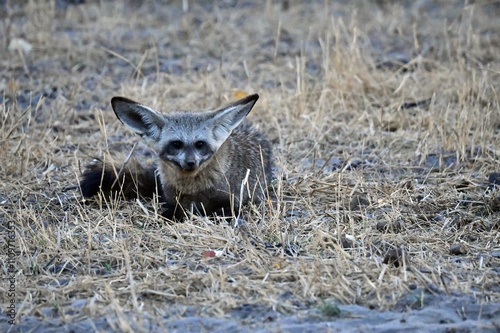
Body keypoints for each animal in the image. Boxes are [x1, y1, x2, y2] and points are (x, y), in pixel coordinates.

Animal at [79, 94, 272, 218]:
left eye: (200, 144)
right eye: (176, 144)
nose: (190, 162)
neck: (192, 189)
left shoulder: (233, 202)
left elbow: (221, 211)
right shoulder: (172, 201)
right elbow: (169, 213)